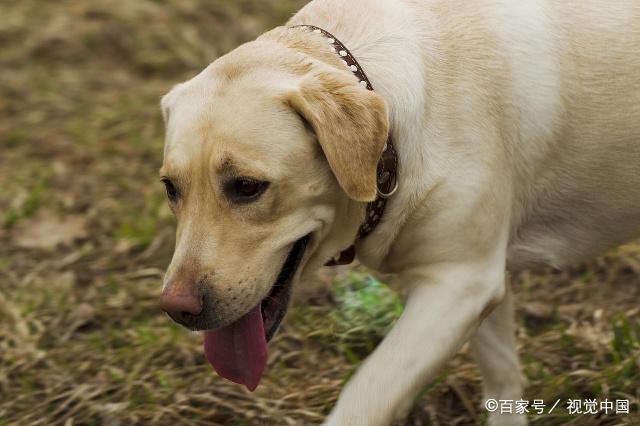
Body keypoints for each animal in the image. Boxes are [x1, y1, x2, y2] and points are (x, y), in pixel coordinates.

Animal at [156, 1, 640, 424]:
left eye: (247, 187)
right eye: (170, 189)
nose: (175, 309)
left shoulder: (459, 283)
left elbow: (366, 396)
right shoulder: (479, 277)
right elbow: (503, 374)